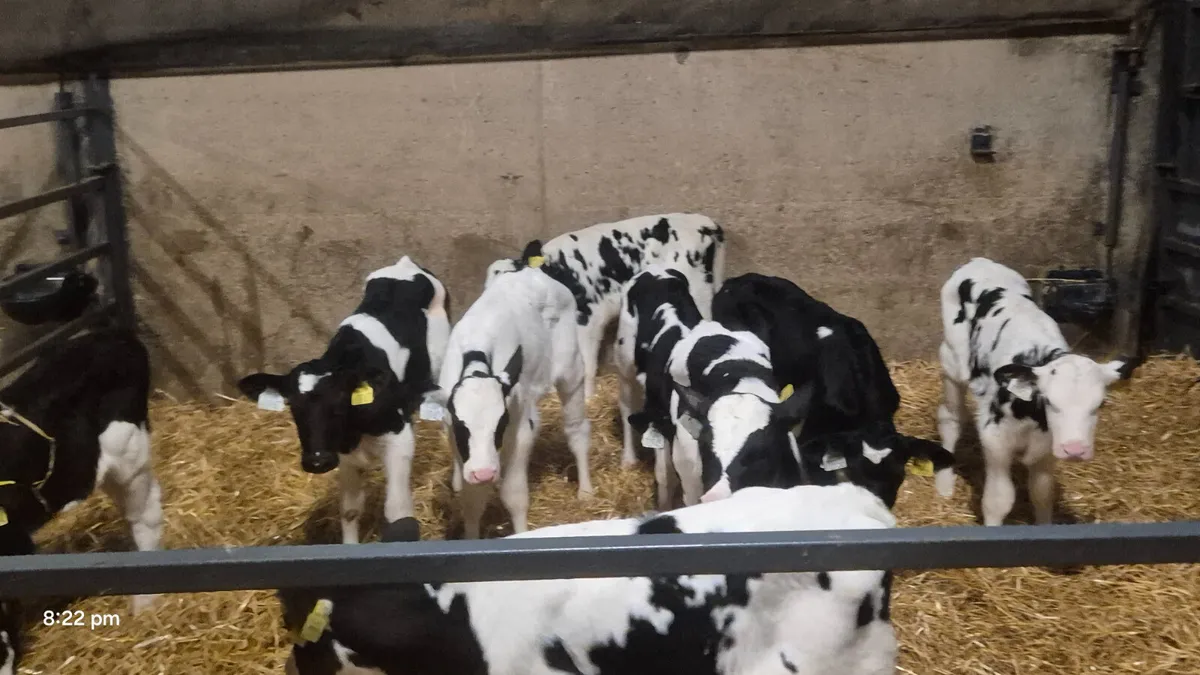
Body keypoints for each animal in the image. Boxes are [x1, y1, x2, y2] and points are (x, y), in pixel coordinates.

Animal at [237, 256, 450, 544]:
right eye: (292, 405)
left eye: (339, 401)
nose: (317, 461)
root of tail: (405, 264)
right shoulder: (343, 453)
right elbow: (350, 510)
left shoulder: (399, 437)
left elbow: (397, 511)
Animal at [425, 267, 591, 539]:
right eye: (461, 426)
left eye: (501, 423)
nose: (484, 473)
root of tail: (532, 273)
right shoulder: (454, 435)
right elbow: (472, 502)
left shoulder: (521, 430)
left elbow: (514, 496)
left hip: (571, 370)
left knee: (576, 430)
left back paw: (586, 491)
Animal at [612, 265, 705, 509]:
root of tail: (654, 270)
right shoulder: (661, 419)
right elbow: (665, 476)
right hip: (625, 359)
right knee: (626, 406)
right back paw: (629, 459)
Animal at [937, 257, 1139, 526]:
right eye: (1051, 402)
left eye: (1100, 404)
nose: (1075, 450)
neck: (1032, 415)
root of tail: (979, 262)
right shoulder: (995, 439)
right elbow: (998, 500)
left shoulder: (1047, 448)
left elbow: (1042, 493)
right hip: (952, 362)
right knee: (950, 418)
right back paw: (944, 483)